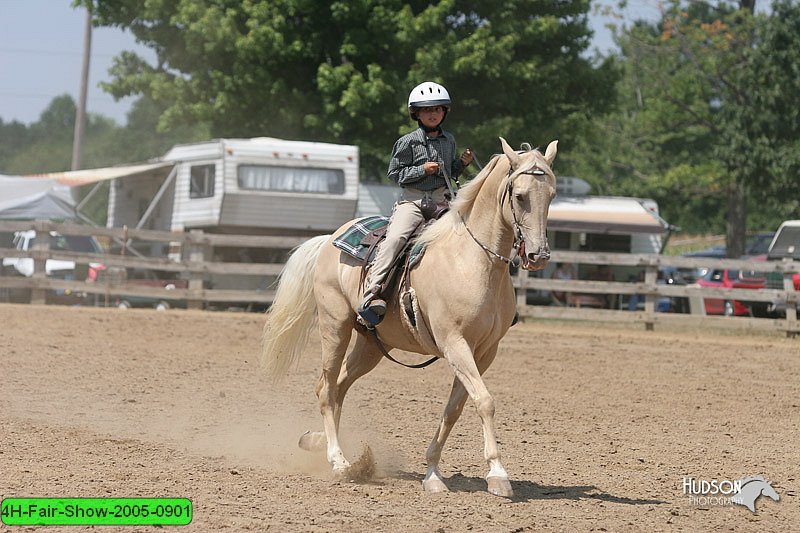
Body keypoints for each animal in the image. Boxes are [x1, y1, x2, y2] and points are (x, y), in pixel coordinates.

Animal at [262, 137, 556, 494]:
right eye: (520, 196)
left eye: (551, 195)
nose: (538, 255)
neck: (473, 261)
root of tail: (329, 240)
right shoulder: (454, 343)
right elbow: (485, 401)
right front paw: (498, 474)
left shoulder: (484, 352)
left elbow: (455, 408)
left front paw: (433, 473)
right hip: (335, 328)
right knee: (327, 389)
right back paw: (339, 461)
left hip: (371, 346)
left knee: (339, 387)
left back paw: (317, 442)